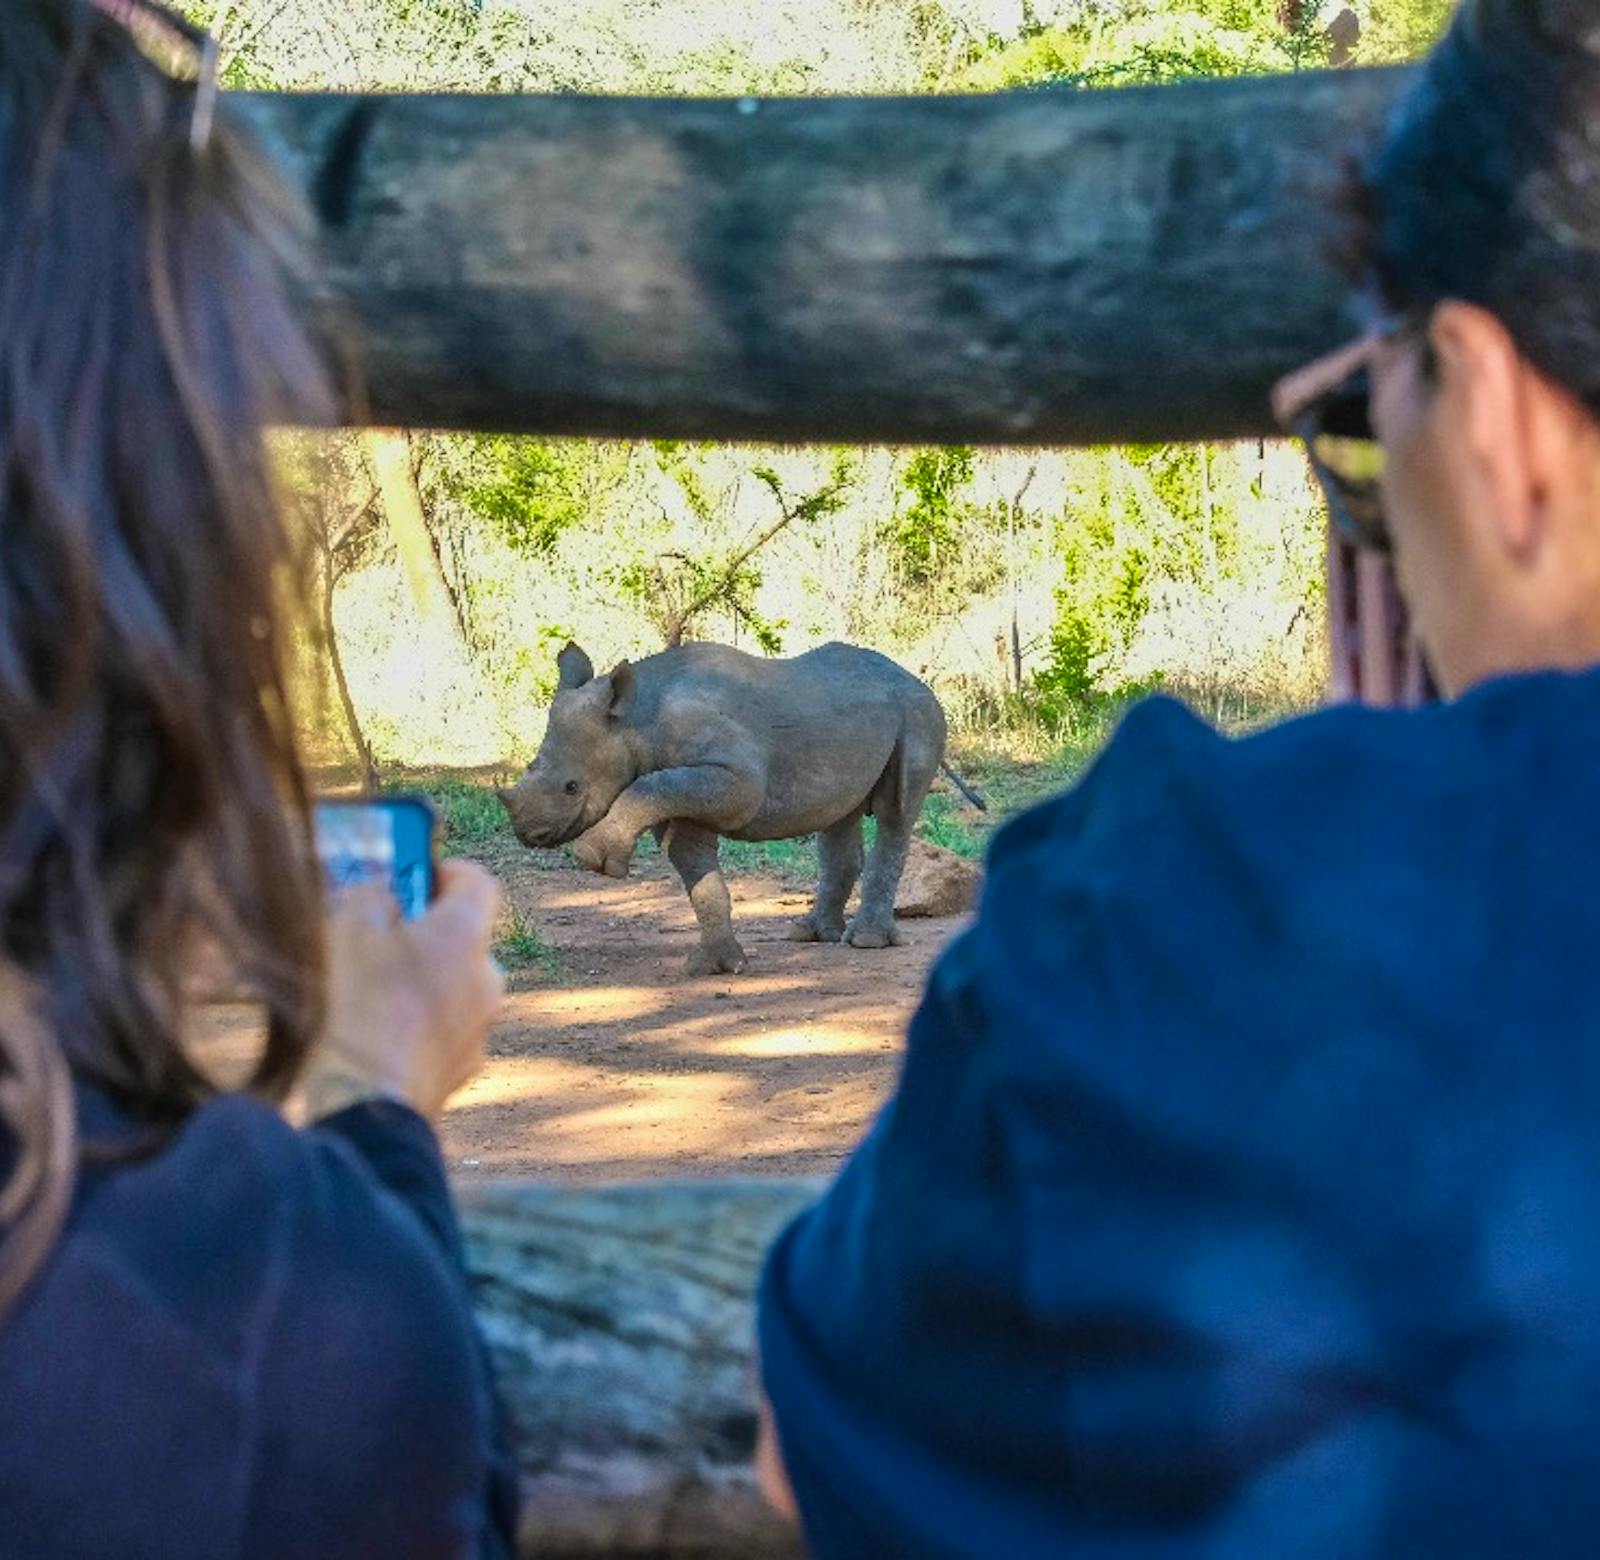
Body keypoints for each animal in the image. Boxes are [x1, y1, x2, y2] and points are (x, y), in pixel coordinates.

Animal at [497, 640, 979, 976]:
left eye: (571, 788)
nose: (528, 835)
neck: (637, 719)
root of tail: (916, 679)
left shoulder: (736, 779)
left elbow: (666, 800)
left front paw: (592, 859)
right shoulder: (680, 790)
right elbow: (696, 870)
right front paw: (716, 967)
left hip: (918, 713)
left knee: (897, 810)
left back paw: (863, 942)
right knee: (838, 815)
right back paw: (808, 934)